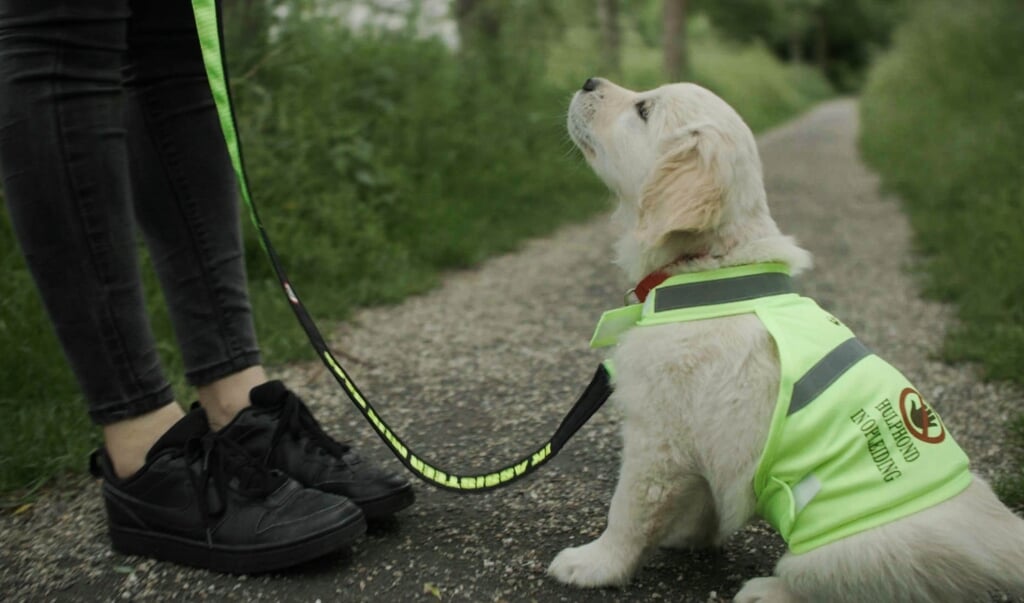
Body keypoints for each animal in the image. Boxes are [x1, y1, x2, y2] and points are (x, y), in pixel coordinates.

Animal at [552, 77, 1024, 597]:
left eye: (643, 110)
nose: (589, 81)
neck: (710, 262)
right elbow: (704, 497)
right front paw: (687, 535)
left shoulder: (658, 438)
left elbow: (629, 510)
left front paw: (593, 564)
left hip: (836, 555)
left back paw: (765, 591)